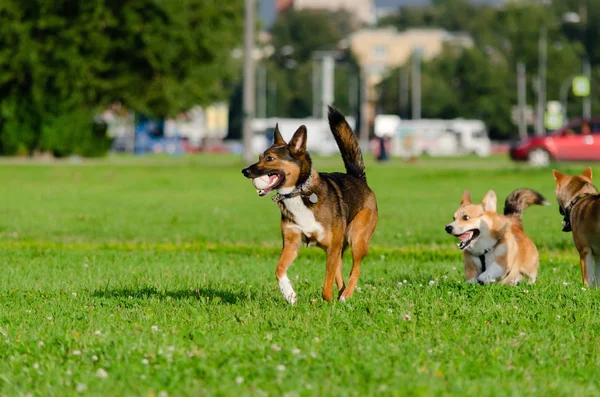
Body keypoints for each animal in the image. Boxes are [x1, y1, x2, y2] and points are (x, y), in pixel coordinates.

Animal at [241, 105, 378, 304]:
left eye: (270, 158)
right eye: (259, 157)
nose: (245, 171)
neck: (298, 193)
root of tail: (357, 177)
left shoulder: (331, 247)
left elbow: (326, 286)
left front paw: (325, 302)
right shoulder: (292, 243)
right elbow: (279, 269)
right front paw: (289, 294)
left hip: (356, 239)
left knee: (356, 270)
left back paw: (345, 296)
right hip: (339, 248)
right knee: (340, 274)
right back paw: (340, 295)